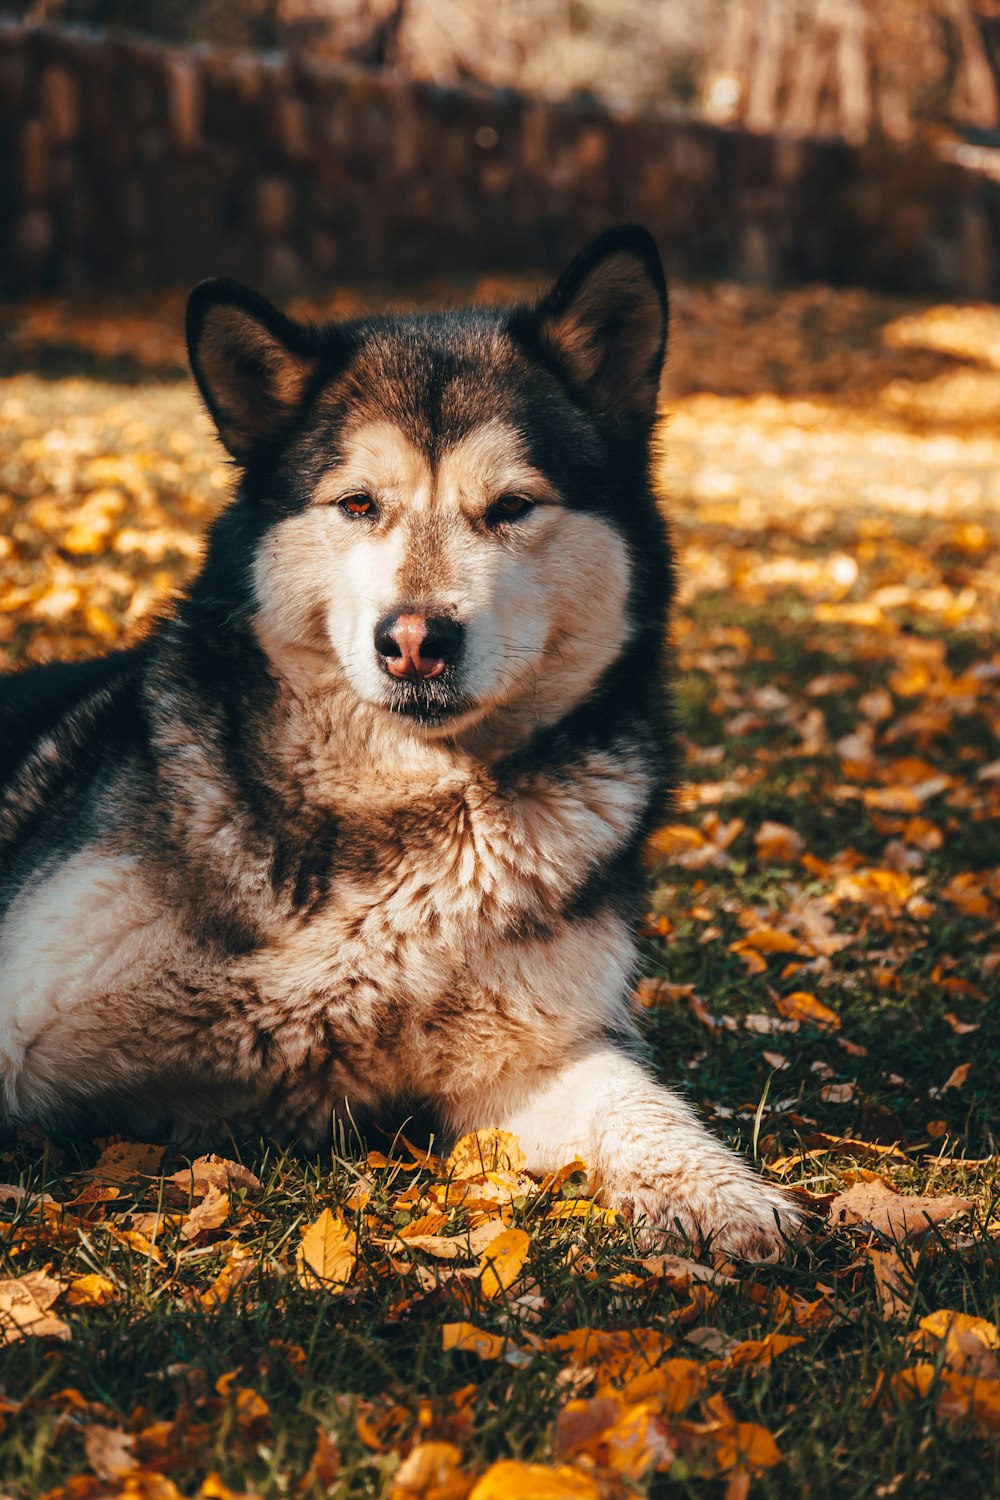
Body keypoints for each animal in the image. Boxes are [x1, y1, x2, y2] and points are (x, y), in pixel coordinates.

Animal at [0, 222, 797, 1254]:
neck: (397, 812)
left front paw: (728, 1196)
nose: (415, 640)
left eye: (512, 507)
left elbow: (644, 1111)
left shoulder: (536, 1052)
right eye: (357, 505)